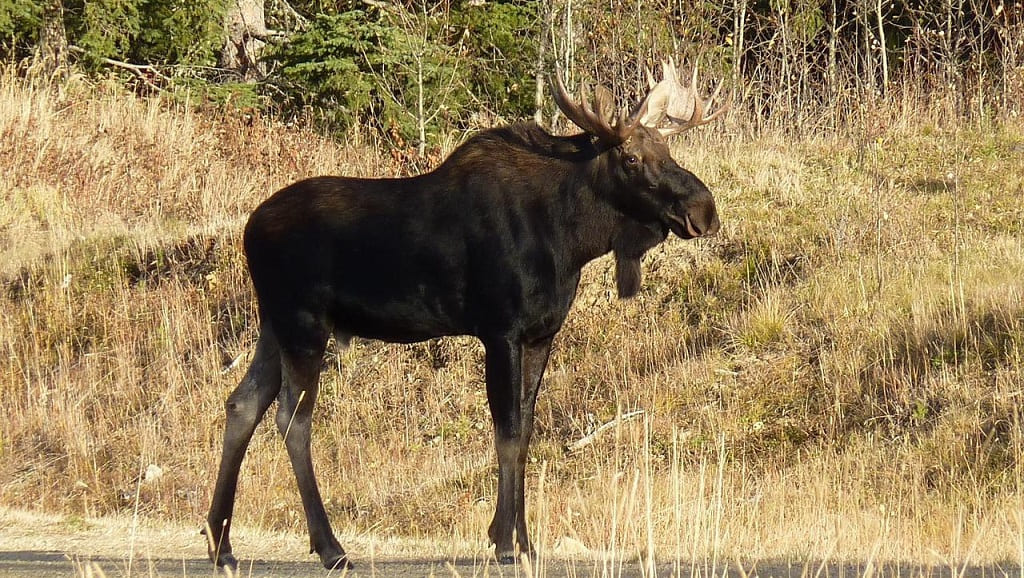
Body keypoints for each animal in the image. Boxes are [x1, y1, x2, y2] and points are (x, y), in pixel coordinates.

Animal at [204, 59, 728, 570]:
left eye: (666, 147)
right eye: (631, 158)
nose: (704, 210)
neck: (571, 238)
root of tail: (248, 230)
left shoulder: (541, 334)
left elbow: (527, 428)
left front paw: (524, 541)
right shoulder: (500, 330)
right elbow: (508, 431)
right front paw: (504, 542)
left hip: (273, 325)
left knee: (242, 404)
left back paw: (221, 543)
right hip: (304, 323)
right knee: (292, 418)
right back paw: (330, 547)